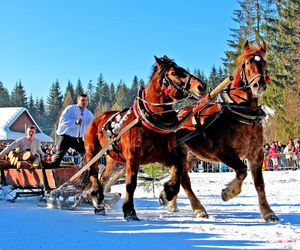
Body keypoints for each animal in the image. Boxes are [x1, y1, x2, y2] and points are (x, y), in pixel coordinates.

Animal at [84, 55, 206, 221]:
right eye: (174, 72)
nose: (201, 86)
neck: (149, 120)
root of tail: (96, 119)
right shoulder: (133, 156)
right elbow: (130, 183)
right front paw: (129, 211)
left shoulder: (165, 156)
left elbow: (179, 172)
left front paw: (165, 194)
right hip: (92, 153)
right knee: (93, 174)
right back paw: (97, 197)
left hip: (114, 160)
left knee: (104, 178)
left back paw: (100, 205)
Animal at [164, 41, 278, 223]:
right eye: (247, 62)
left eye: (264, 62)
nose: (259, 85)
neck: (241, 113)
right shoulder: (223, 152)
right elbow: (241, 171)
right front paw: (228, 193)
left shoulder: (256, 154)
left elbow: (259, 183)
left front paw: (268, 212)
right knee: (185, 180)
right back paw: (199, 209)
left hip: (192, 156)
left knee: (179, 177)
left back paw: (170, 202)